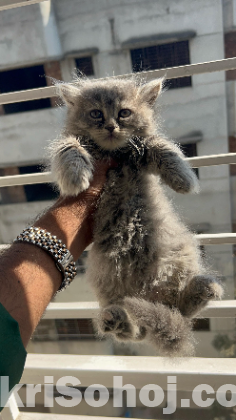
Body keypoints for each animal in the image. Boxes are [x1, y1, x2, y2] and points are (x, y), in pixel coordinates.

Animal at [49, 77, 223, 356]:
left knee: (179, 312)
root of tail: (148, 295)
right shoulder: (72, 143)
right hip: (108, 284)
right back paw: (116, 321)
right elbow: (68, 147)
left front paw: (184, 178)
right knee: (133, 332)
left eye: (124, 113)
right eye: (96, 114)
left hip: (182, 257)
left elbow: (160, 146)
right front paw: (77, 177)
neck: (117, 158)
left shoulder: (142, 151)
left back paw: (205, 289)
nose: (111, 126)